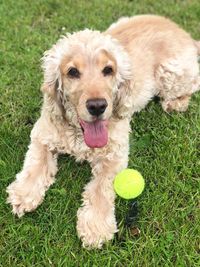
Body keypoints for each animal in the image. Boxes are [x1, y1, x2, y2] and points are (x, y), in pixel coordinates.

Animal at [7, 14, 199, 249]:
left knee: (194, 82)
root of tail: (184, 33)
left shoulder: (115, 154)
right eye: (72, 72)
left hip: (172, 74)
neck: (79, 134)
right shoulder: (42, 135)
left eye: (108, 70)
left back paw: (176, 103)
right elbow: (35, 163)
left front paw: (95, 227)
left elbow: (100, 187)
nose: (97, 106)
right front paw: (23, 194)